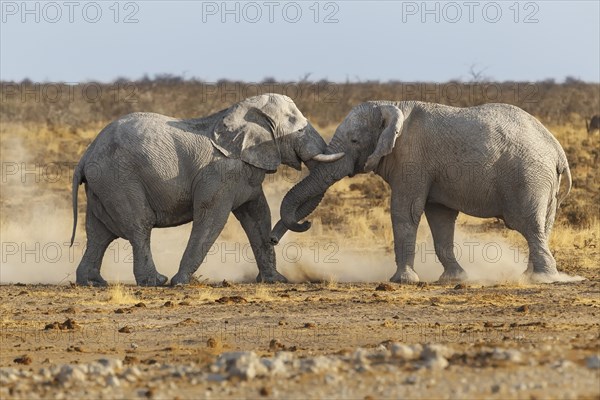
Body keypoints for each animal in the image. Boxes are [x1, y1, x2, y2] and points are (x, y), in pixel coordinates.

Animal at [69, 93, 342, 288]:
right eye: (297, 126)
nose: (276, 239)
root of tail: (86, 155)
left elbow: (258, 215)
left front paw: (276, 280)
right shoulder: (219, 174)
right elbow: (212, 218)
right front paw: (180, 282)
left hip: (102, 185)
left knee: (98, 233)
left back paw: (92, 282)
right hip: (119, 180)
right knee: (139, 227)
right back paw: (156, 281)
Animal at [272, 101, 572, 286]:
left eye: (355, 141)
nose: (273, 240)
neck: (391, 106)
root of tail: (557, 150)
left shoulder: (411, 159)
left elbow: (405, 212)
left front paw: (402, 281)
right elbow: (440, 218)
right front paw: (454, 279)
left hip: (529, 177)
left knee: (528, 224)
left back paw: (542, 279)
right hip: (544, 182)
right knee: (542, 225)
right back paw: (531, 275)